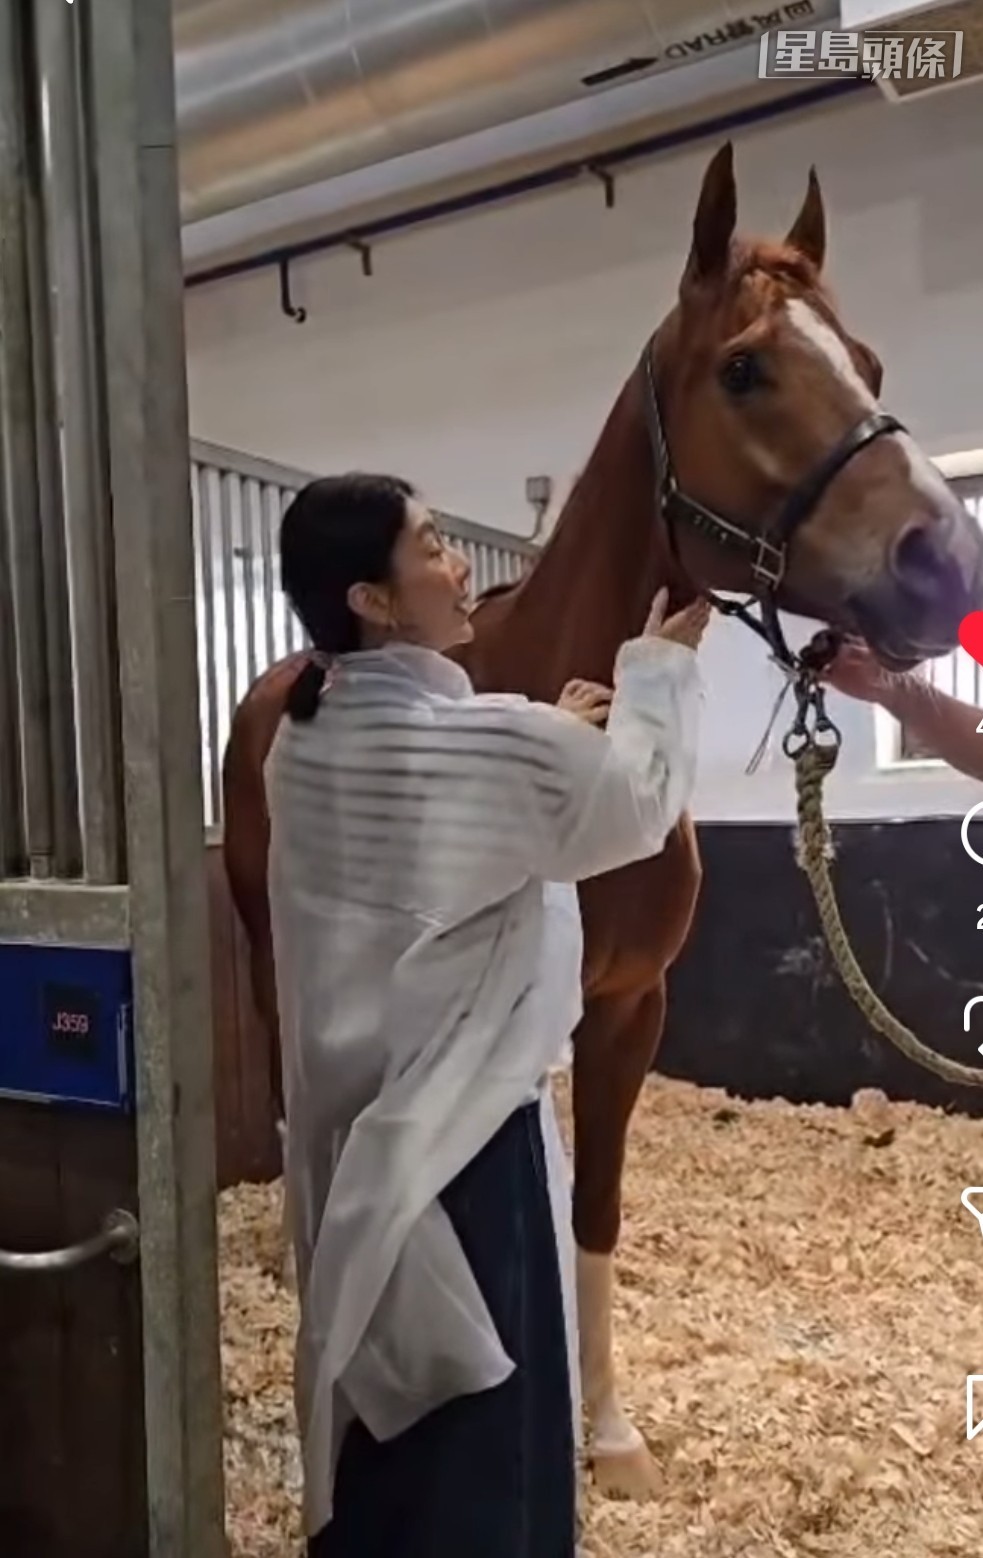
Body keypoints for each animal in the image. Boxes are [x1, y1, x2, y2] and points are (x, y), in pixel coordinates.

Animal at [219, 141, 983, 1500]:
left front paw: (611, 1434)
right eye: (744, 368)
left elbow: (596, 1207)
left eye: (870, 365)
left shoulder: (629, 1005)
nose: (939, 562)